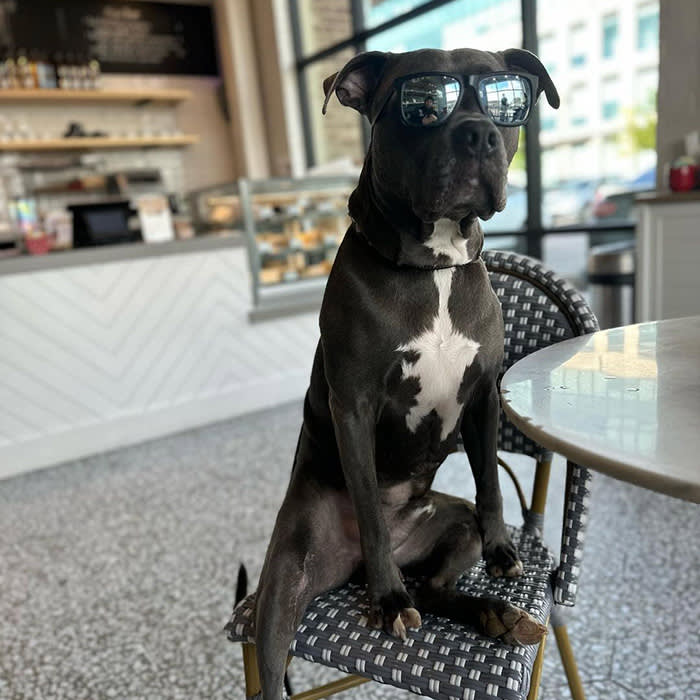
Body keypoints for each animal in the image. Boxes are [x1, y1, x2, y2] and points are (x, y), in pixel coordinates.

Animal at [250, 46, 556, 696]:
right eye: (421, 102)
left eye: (506, 99)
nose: (478, 133)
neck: (432, 268)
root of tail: (349, 568)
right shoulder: (354, 406)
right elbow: (368, 499)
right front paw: (389, 598)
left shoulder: (483, 396)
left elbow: (491, 483)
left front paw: (502, 551)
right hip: (284, 581)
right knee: (274, 657)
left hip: (452, 527)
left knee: (436, 586)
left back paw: (496, 613)